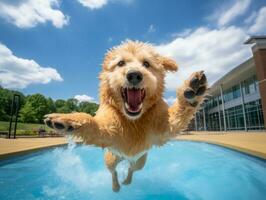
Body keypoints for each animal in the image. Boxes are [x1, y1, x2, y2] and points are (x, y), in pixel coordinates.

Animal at [44, 40, 208, 192]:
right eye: (121, 63)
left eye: (146, 64)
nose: (134, 75)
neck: (133, 121)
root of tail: (125, 157)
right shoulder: (109, 130)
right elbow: (95, 125)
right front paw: (68, 120)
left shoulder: (163, 127)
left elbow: (175, 117)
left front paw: (190, 94)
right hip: (110, 158)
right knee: (113, 172)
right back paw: (116, 186)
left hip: (140, 161)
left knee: (131, 169)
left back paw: (127, 181)